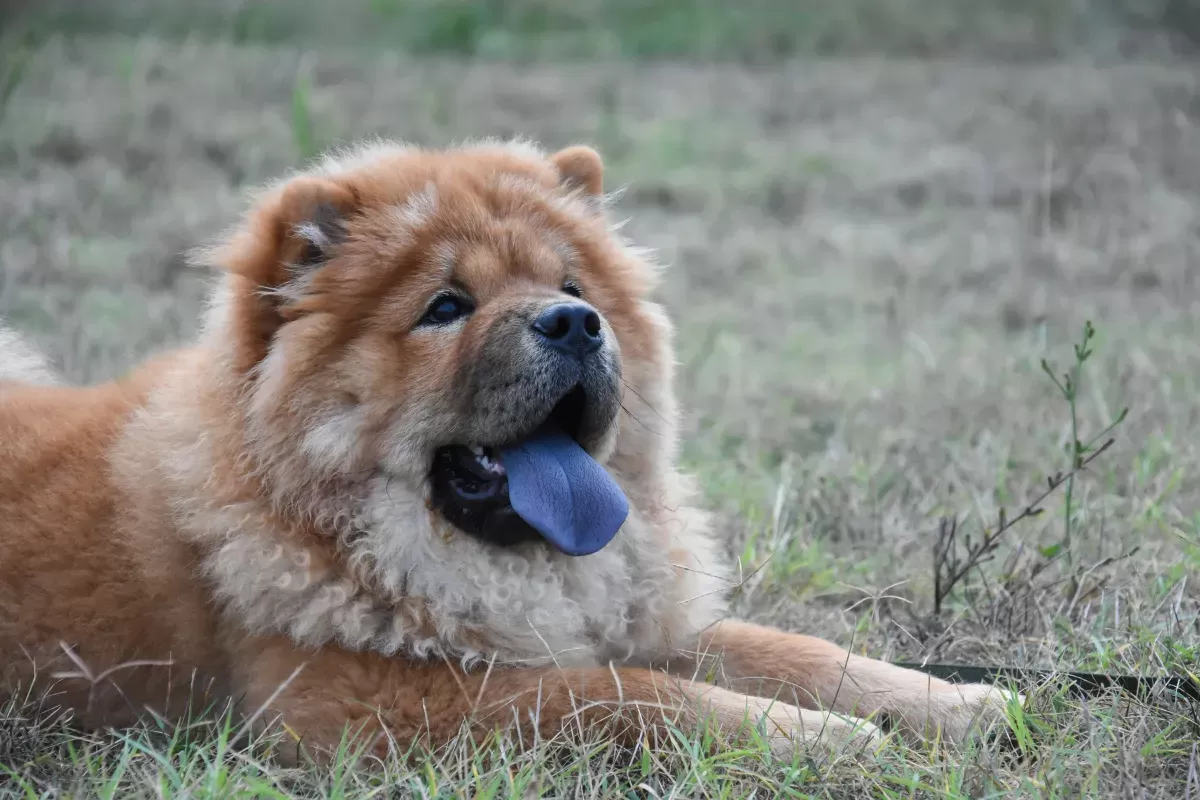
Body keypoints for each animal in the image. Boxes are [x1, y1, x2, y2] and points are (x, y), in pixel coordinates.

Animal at [0, 140, 1017, 767]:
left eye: (573, 287)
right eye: (446, 308)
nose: (572, 323)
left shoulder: (639, 622)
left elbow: (797, 651)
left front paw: (958, 707)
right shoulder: (361, 704)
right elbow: (624, 697)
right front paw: (823, 741)